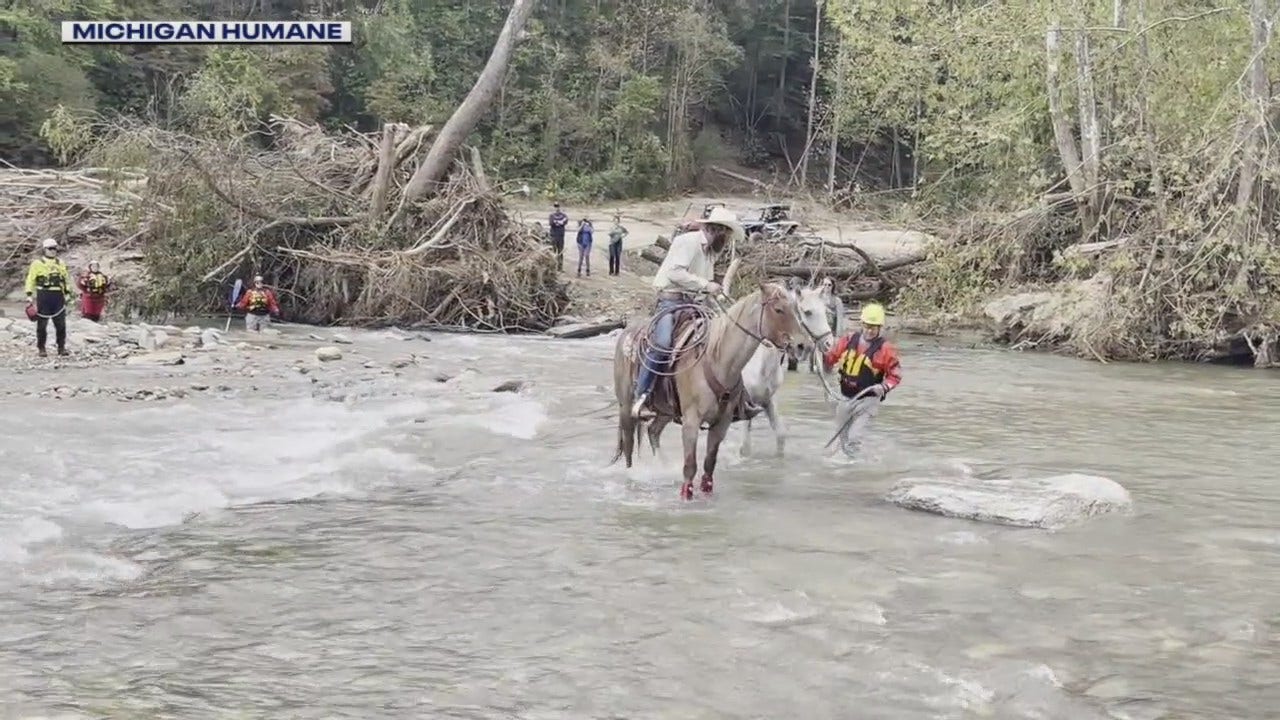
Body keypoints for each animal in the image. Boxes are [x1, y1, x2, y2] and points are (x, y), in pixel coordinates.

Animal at [609, 281, 798, 499]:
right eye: (778, 309)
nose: (801, 345)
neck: (717, 359)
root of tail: (626, 333)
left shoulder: (721, 423)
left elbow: (709, 465)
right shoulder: (691, 421)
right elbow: (690, 467)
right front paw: (686, 498)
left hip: (665, 410)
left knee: (653, 431)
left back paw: (663, 466)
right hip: (626, 407)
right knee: (629, 444)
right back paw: (631, 475)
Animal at [742, 279, 839, 453]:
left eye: (825, 311)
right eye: (808, 312)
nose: (829, 344)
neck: (761, 365)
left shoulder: (768, 401)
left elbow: (781, 436)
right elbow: (745, 447)